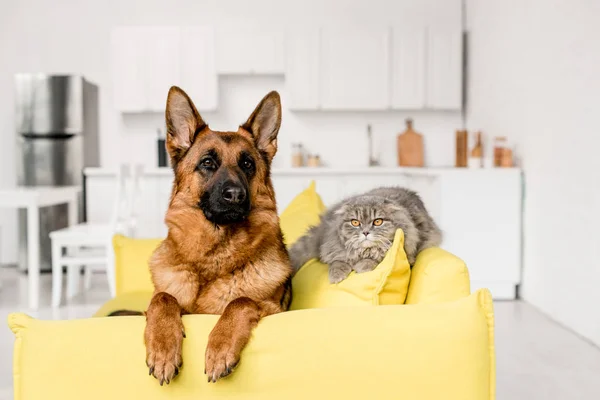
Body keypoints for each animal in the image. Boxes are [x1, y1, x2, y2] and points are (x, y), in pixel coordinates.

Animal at [144, 86, 292, 384]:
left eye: (247, 163)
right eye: (208, 162)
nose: (235, 195)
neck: (214, 256)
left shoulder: (271, 308)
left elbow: (240, 300)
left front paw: (220, 348)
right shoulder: (164, 299)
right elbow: (162, 298)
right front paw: (163, 349)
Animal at [288, 188, 442, 284]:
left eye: (378, 221)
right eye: (355, 222)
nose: (366, 232)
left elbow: (373, 259)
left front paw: (362, 267)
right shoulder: (335, 251)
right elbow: (337, 262)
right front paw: (336, 277)